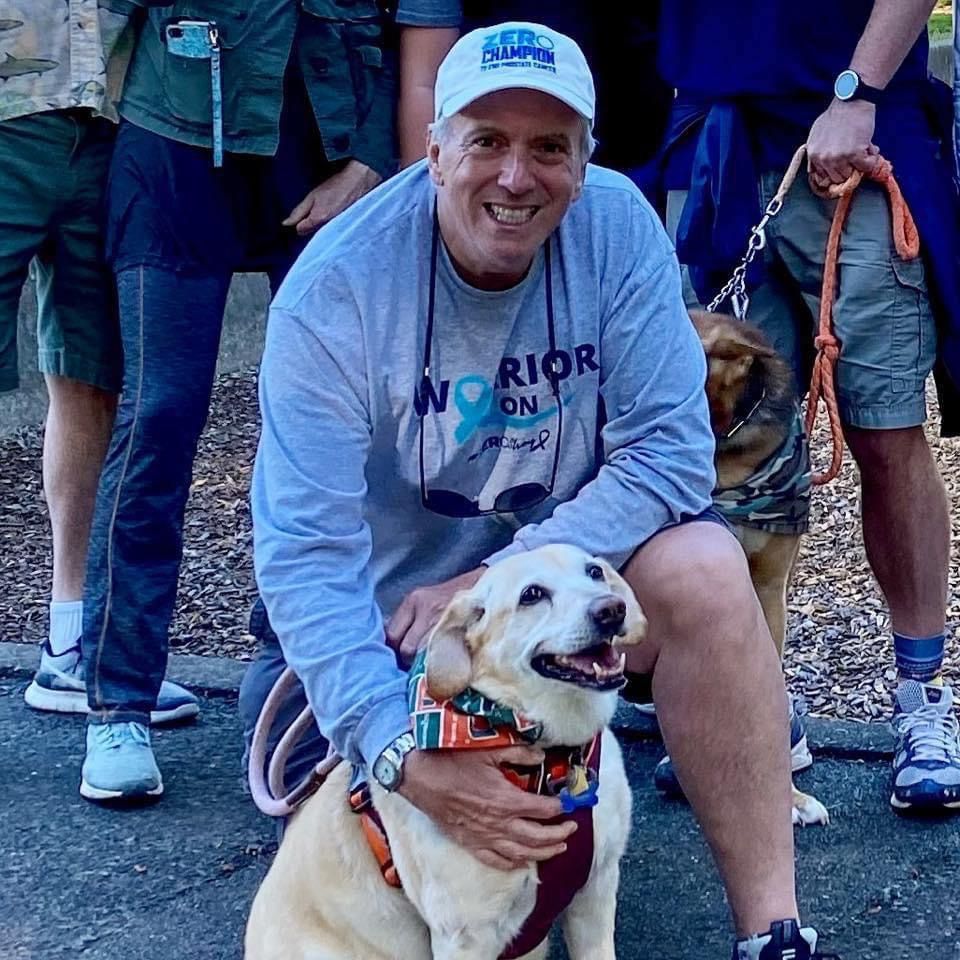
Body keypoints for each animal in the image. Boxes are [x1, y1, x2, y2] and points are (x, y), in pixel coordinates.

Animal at [245, 544, 647, 960]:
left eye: (595, 572)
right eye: (532, 595)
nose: (612, 609)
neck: (555, 757)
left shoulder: (596, 889)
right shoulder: (465, 935)